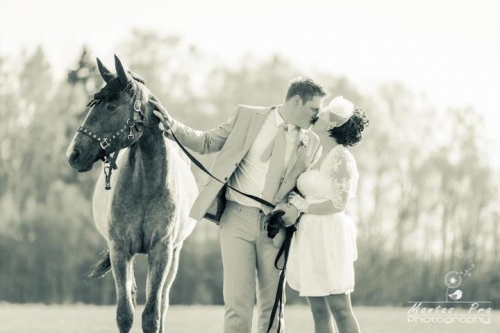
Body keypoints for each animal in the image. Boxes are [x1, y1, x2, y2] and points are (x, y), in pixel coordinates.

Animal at [66, 55, 197, 330]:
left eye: (111, 106)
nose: (73, 154)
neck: (146, 187)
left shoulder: (162, 250)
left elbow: (152, 314)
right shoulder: (119, 249)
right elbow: (125, 313)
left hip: (175, 255)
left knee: (163, 301)